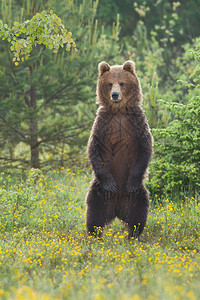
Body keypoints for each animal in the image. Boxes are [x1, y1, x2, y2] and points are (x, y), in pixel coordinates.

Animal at [86, 61, 153, 239]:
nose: (115, 95)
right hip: (99, 192)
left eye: (122, 83)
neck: (119, 111)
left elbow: (145, 149)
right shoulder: (104, 124)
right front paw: (110, 184)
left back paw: (133, 235)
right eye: (110, 84)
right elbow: (95, 149)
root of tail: (116, 208)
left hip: (137, 196)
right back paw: (94, 236)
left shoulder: (136, 123)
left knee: (138, 213)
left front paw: (131, 184)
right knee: (94, 213)